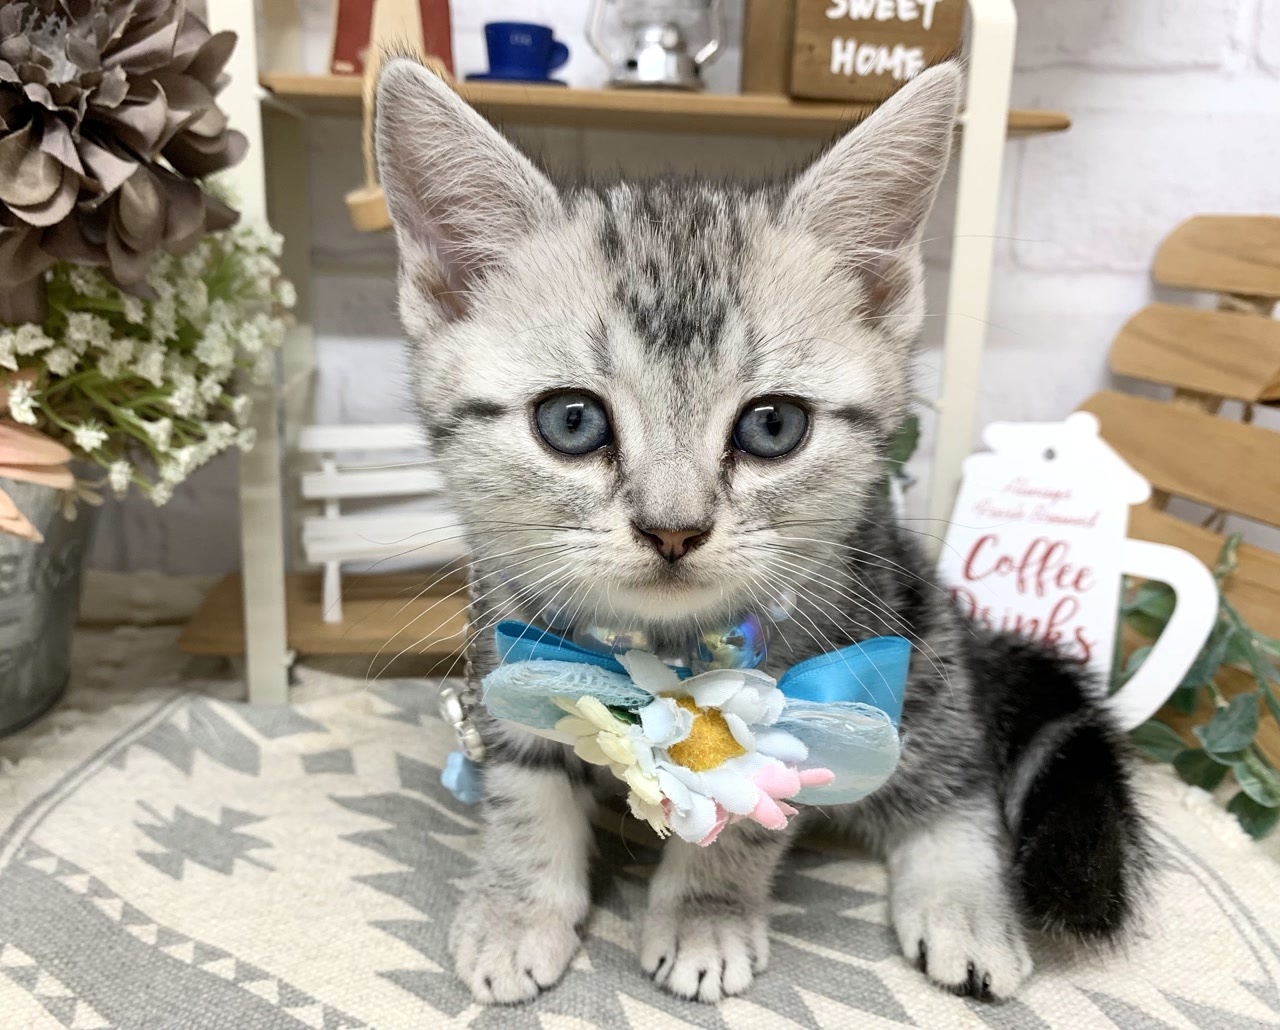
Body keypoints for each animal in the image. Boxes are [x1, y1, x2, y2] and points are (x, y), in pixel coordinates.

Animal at [374, 57, 1150, 1006]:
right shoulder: (509, 646)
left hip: (913, 641)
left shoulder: (812, 694)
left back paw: (962, 902)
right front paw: (517, 908)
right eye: (571, 421)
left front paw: (704, 914)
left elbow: (750, 817)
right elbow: (527, 788)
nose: (674, 529)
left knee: (954, 772)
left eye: (773, 426)